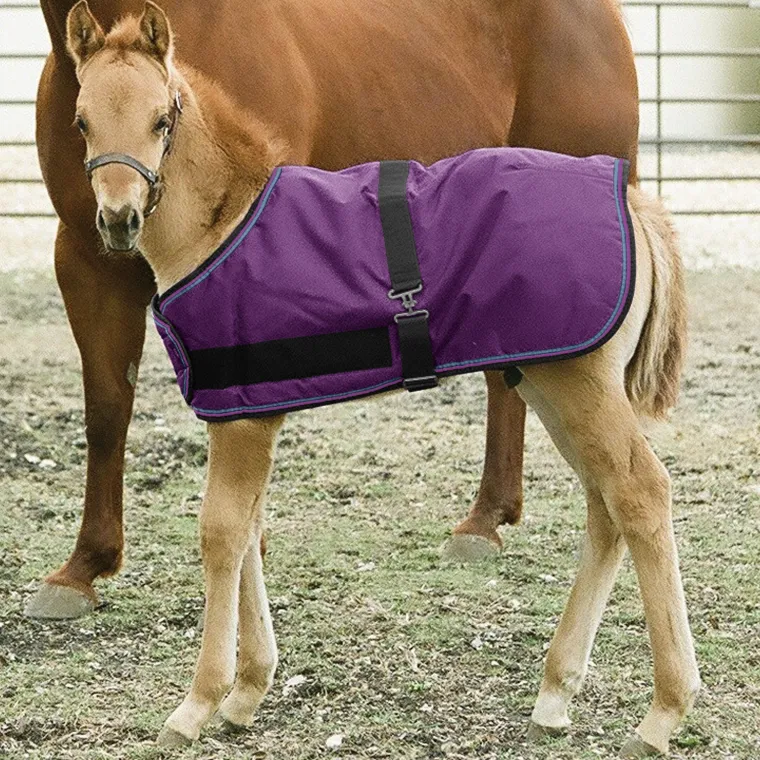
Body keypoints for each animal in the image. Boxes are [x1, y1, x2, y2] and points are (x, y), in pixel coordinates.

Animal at [65, 4, 698, 757]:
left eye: (162, 119)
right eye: (81, 121)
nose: (119, 220)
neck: (224, 223)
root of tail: (632, 202)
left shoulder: (242, 419)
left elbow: (221, 533)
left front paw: (198, 703)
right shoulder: (249, 411)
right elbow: (250, 530)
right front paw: (248, 692)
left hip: (581, 386)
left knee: (641, 493)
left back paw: (663, 712)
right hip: (551, 383)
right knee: (606, 504)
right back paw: (555, 694)